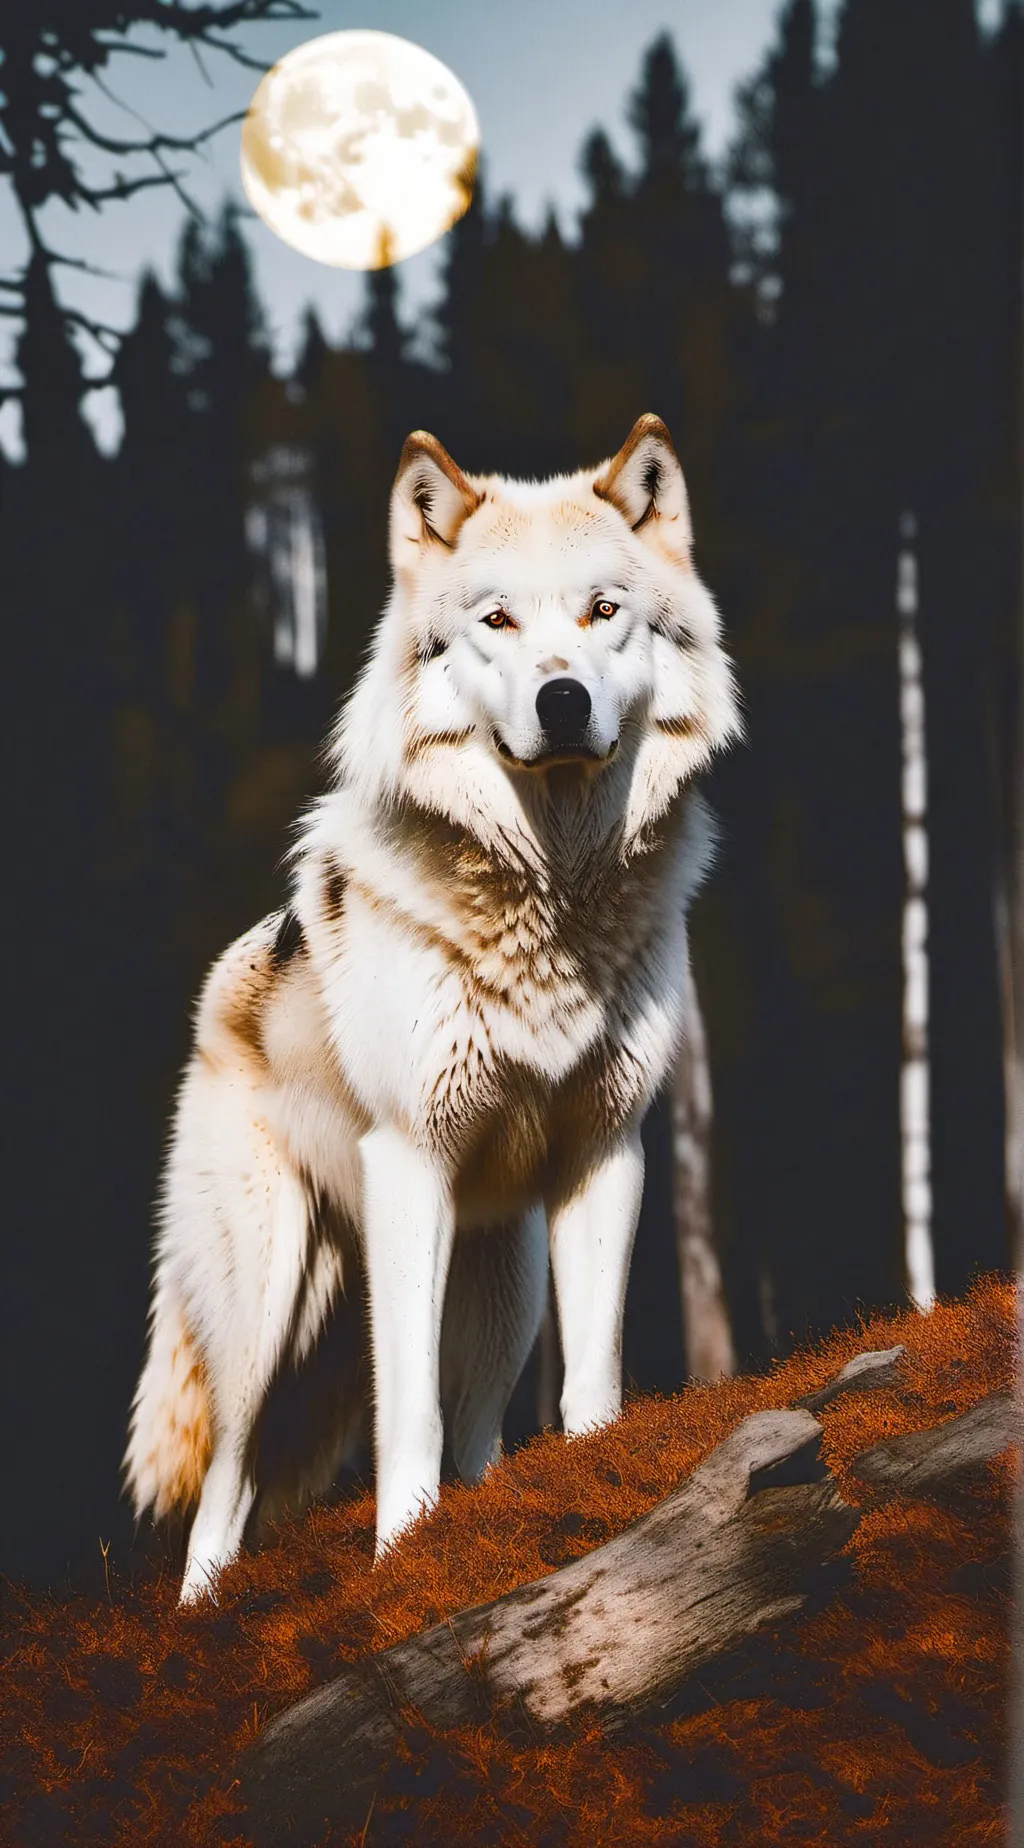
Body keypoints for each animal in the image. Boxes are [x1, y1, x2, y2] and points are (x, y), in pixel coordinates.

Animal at [124, 414, 741, 1604]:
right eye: (495, 620)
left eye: (603, 612)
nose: (561, 700)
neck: (548, 898)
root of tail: (222, 981)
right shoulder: (411, 1162)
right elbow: (401, 1410)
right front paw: (400, 1561)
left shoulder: (606, 1152)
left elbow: (590, 1378)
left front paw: (589, 1496)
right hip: (268, 1305)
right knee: (222, 1492)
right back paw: (204, 1615)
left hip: (505, 1285)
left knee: (478, 1432)